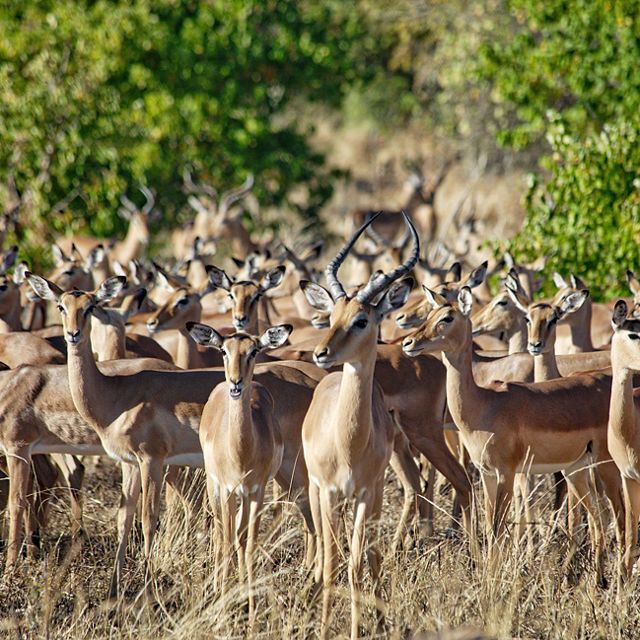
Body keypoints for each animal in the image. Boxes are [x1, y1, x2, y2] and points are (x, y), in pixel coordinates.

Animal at [187, 322, 291, 619]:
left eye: (254, 350)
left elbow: (249, 543)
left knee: (241, 537)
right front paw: (223, 604)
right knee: (222, 533)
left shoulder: (256, 491)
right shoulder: (227, 489)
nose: (236, 383)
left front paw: (252, 608)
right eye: (224, 350)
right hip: (214, 487)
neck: (241, 453)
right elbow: (226, 542)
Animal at [301, 211, 419, 638]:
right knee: (324, 554)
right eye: (331, 317)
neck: (347, 444)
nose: (321, 352)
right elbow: (333, 565)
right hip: (316, 493)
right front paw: (321, 629)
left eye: (362, 319)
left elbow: (353, 566)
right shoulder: (330, 493)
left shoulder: (366, 495)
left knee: (371, 554)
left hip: (375, 498)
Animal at [402, 287, 623, 587]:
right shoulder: (486, 474)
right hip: (576, 470)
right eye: (430, 313)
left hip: (606, 465)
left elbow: (497, 528)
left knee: (620, 518)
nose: (409, 342)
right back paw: (597, 581)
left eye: (447, 317)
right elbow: (488, 526)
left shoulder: (506, 473)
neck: (484, 404)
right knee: (599, 520)